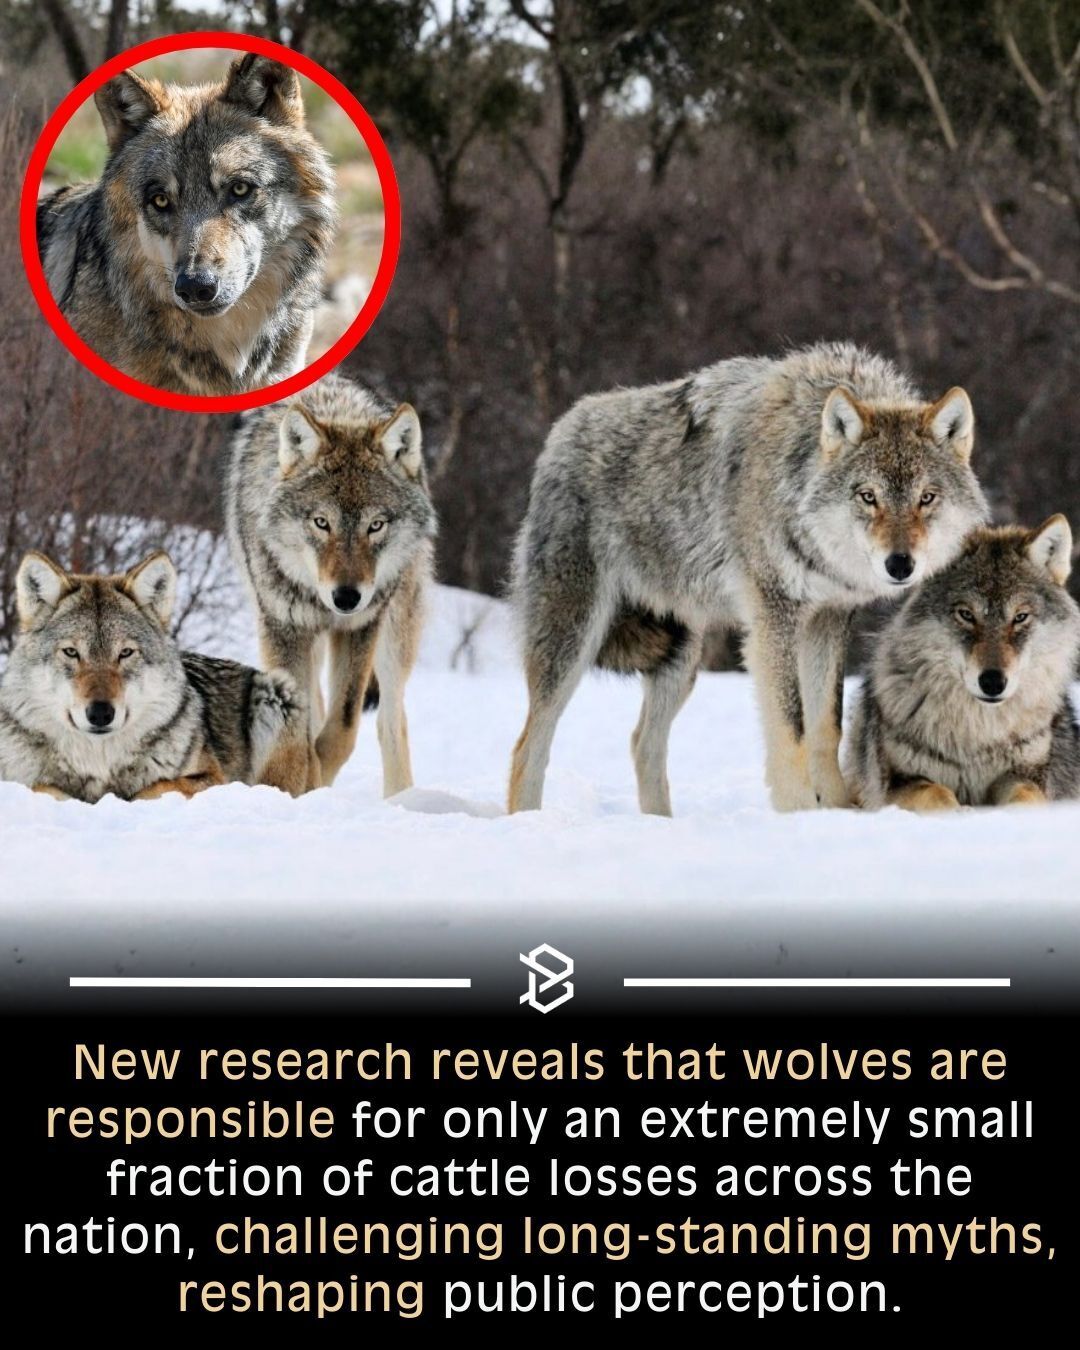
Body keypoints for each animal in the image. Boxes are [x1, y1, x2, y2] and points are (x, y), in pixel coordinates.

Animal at [0, 551, 307, 803]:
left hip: (276, 692)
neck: (99, 763)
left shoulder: (213, 779)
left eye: (125, 653)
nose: (100, 713)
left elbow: (153, 788)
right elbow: (41, 787)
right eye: (71, 652)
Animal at [226, 373, 436, 794]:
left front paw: (316, 780)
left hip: (394, 636)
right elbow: (300, 727)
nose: (347, 597)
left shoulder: (360, 628)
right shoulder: (283, 627)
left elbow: (342, 728)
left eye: (376, 525)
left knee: (391, 721)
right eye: (321, 523)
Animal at [509, 342, 988, 814]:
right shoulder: (774, 618)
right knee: (528, 747)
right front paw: (800, 813)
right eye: (868, 497)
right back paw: (528, 819)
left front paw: (836, 810)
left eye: (926, 498)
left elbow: (826, 726)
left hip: (681, 658)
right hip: (573, 642)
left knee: (642, 743)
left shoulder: (828, 619)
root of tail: (561, 430)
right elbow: (792, 728)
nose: (900, 565)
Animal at [845, 519, 1080, 811]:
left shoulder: (1027, 774)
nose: (992, 682)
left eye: (1020, 617)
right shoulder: (899, 782)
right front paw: (959, 813)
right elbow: (937, 795)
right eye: (966, 614)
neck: (977, 735)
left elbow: (1025, 797)